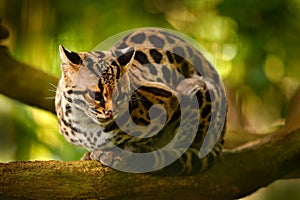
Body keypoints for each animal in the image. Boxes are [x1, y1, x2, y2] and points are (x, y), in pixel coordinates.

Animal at [55, 27, 225, 175]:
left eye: (120, 96)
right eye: (96, 95)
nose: (111, 113)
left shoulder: (169, 98)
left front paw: (120, 153)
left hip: (197, 87)